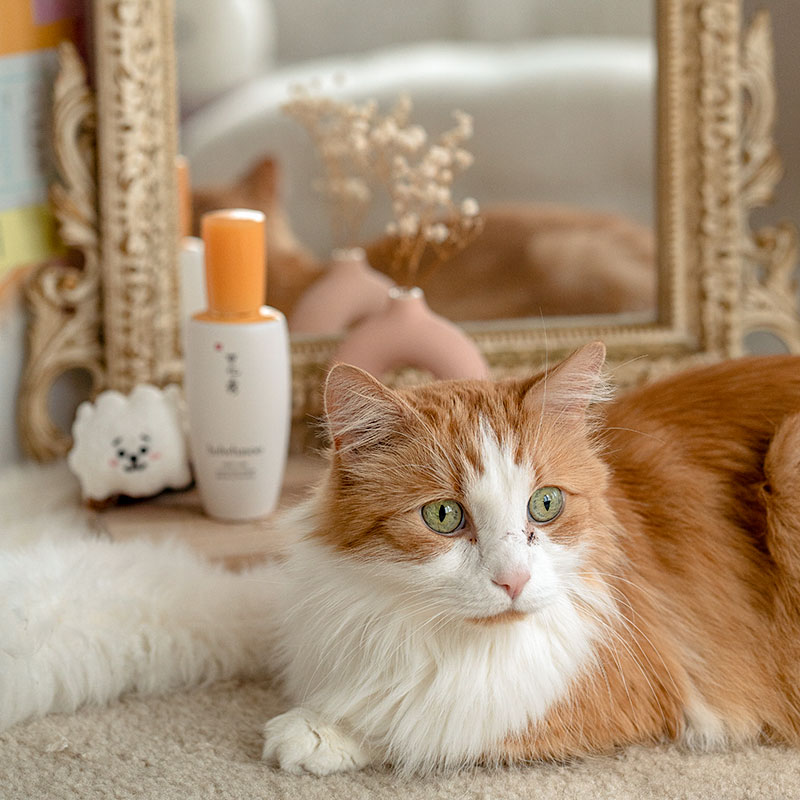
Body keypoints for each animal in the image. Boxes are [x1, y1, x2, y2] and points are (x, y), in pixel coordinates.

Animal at [258, 342, 800, 776]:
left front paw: (318, 729)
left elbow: (430, 723)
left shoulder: (629, 679)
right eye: (442, 515)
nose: (514, 580)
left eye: (546, 504)